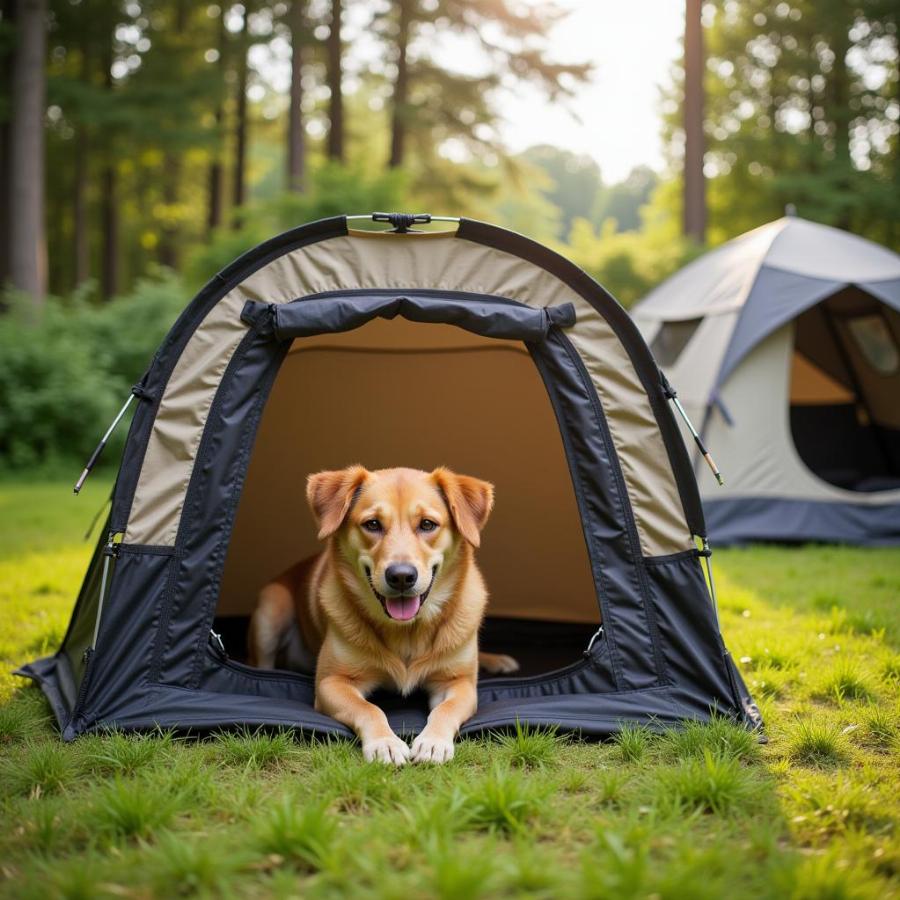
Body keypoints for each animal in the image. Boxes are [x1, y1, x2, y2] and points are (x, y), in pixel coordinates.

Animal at [248, 468, 520, 764]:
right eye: (373, 524)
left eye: (427, 524)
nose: (401, 576)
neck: (406, 631)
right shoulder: (332, 682)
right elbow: (368, 708)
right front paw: (385, 743)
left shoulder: (458, 683)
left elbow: (445, 709)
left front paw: (433, 742)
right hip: (271, 608)